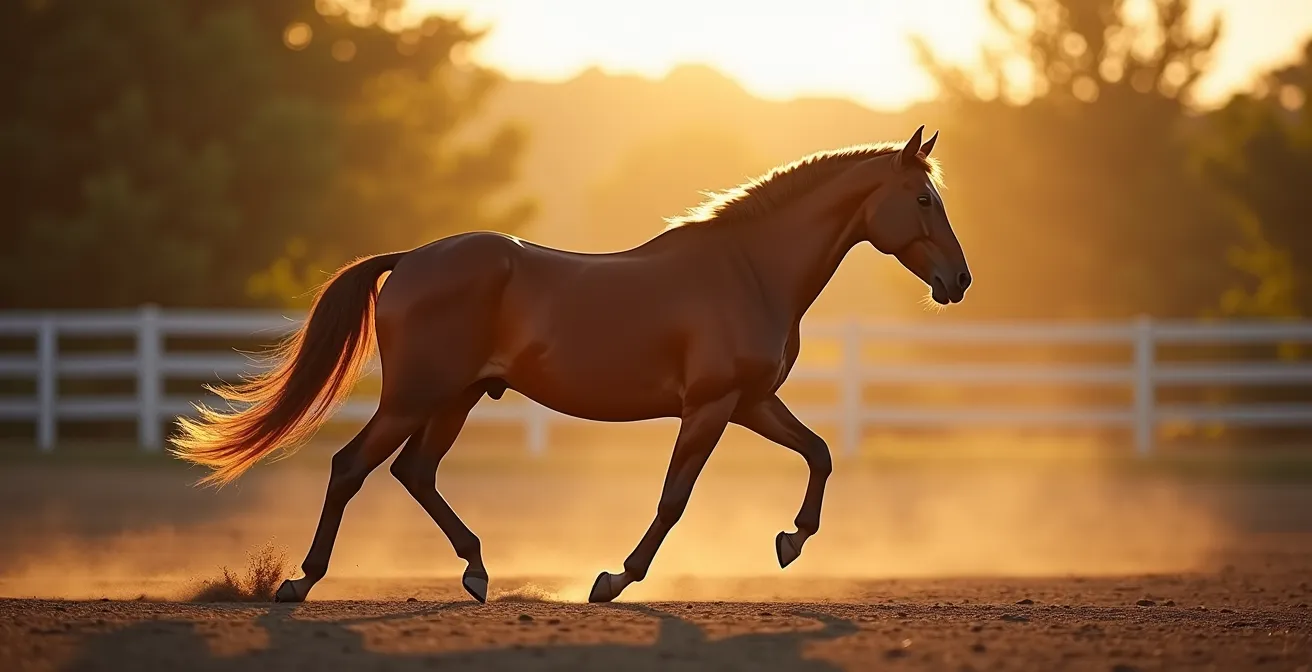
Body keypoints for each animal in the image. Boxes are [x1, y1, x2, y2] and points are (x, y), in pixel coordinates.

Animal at [169, 125, 972, 605]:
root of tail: (411, 260)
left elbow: (820, 452)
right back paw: (301, 583)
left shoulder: (749, 402)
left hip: (456, 398)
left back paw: (476, 570)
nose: (959, 281)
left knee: (414, 473)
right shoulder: (711, 406)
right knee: (352, 468)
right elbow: (674, 499)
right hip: (415, 397)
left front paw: (790, 541)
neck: (748, 270)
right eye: (922, 198)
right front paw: (613, 579)